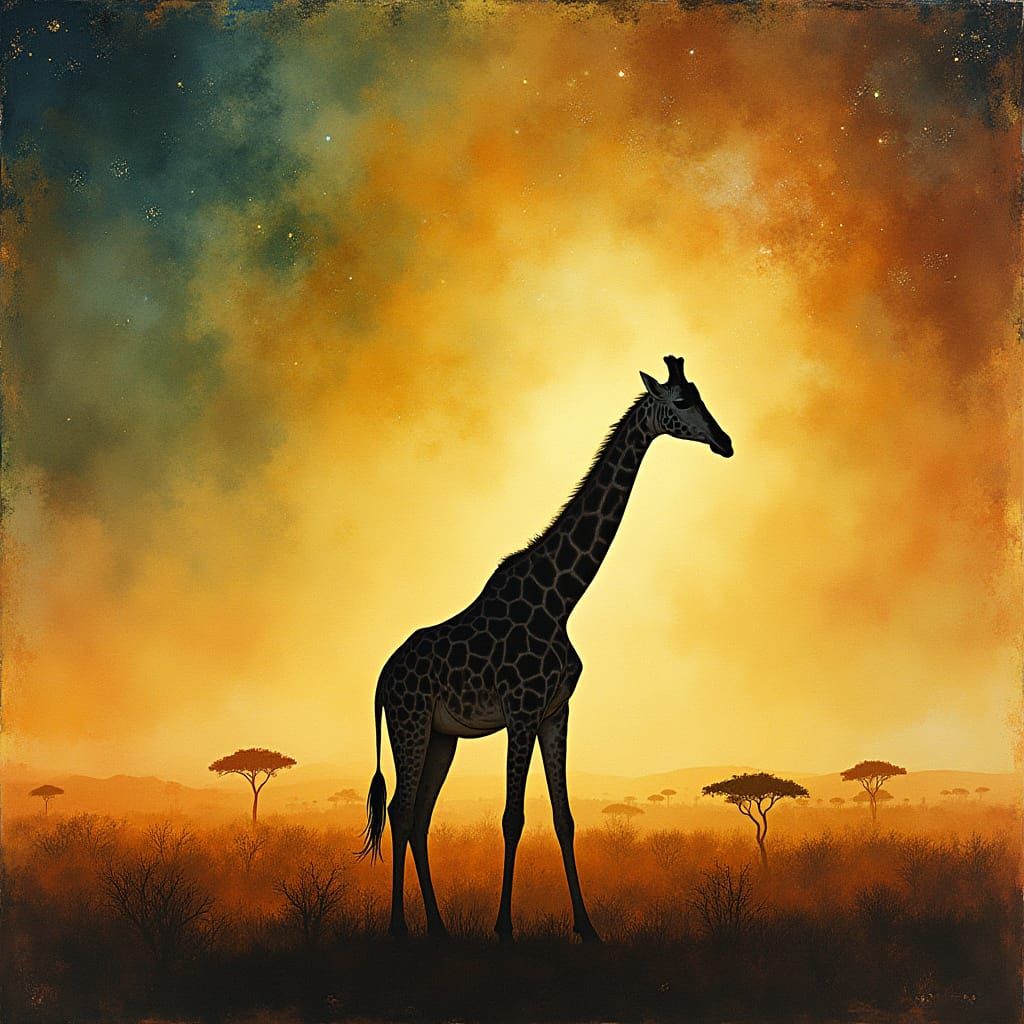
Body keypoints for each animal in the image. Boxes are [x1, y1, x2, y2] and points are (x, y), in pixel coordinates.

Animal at [357, 355, 733, 942]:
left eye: (700, 394)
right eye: (679, 402)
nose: (725, 441)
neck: (561, 599)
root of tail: (381, 679)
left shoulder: (557, 711)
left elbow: (565, 818)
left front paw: (587, 927)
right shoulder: (522, 709)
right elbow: (513, 818)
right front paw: (504, 928)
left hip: (443, 736)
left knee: (418, 815)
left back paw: (438, 928)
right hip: (410, 722)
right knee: (399, 810)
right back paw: (399, 929)